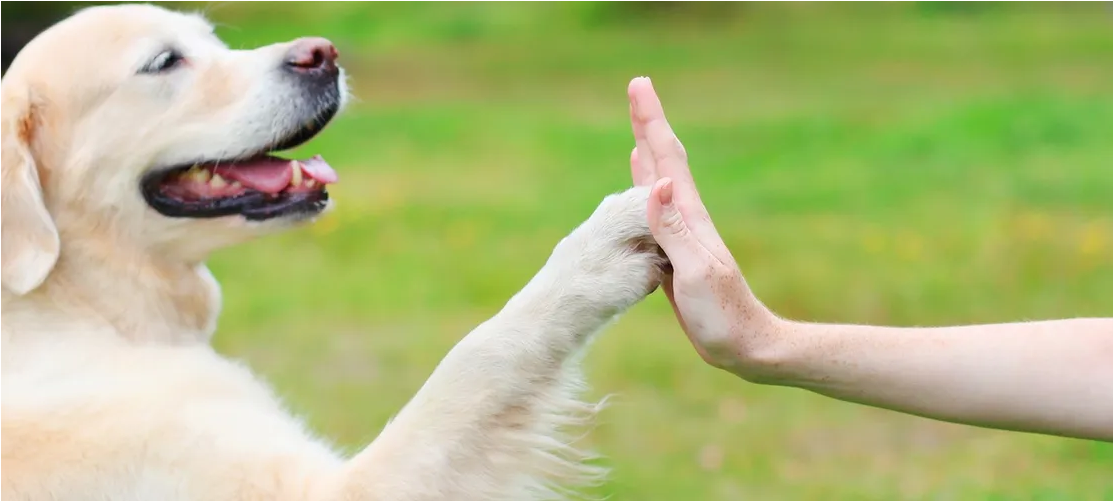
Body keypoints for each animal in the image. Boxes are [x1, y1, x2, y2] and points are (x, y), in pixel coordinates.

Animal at [2, 3, 669, 499]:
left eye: (213, 40)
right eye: (164, 61)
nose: (321, 54)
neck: (82, 308)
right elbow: (478, 357)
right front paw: (598, 252)